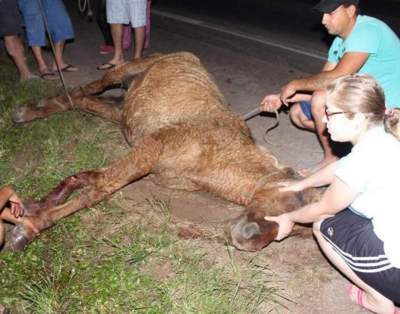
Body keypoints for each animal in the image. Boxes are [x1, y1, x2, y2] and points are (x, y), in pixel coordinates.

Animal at [9, 52, 320, 253]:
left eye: (300, 227)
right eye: (298, 197)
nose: (246, 238)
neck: (218, 154)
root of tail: (181, 56)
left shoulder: (144, 155)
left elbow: (86, 178)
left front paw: (36, 206)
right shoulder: (149, 150)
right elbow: (99, 189)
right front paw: (29, 227)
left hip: (121, 111)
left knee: (81, 100)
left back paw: (32, 111)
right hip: (120, 73)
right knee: (87, 89)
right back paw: (27, 111)